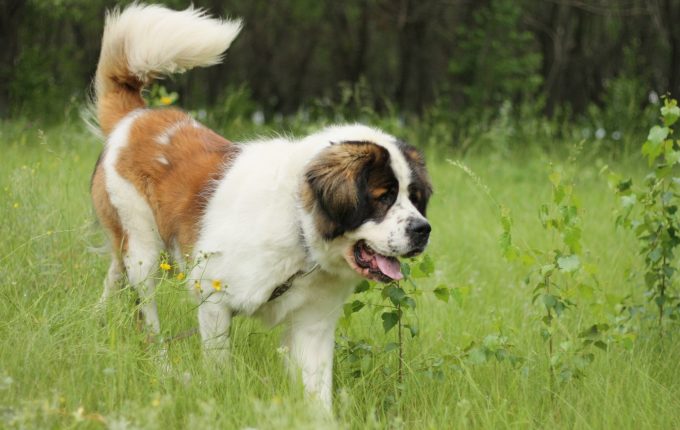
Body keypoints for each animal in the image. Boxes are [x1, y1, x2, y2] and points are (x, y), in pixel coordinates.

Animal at [90, 4, 432, 410]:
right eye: (382, 197)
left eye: (415, 197)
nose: (423, 230)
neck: (300, 228)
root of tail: (136, 117)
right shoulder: (214, 299)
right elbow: (219, 366)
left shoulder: (313, 324)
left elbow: (317, 391)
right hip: (143, 250)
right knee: (146, 310)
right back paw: (159, 363)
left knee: (113, 278)